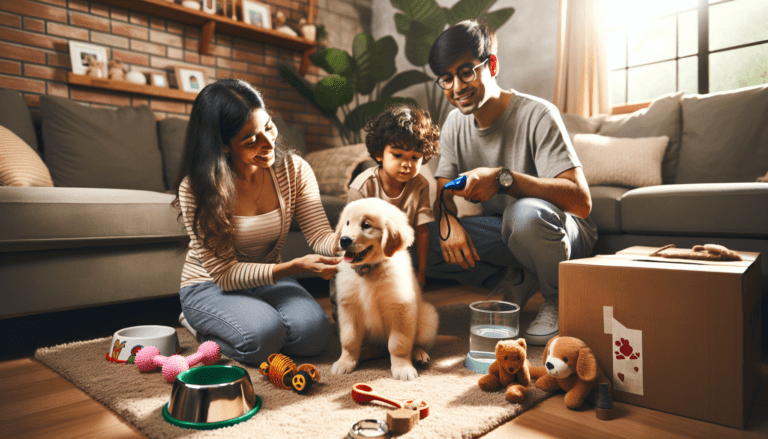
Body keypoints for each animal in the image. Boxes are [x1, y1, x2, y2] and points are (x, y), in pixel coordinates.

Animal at [330, 199, 438, 382]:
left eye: (366, 225)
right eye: (347, 223)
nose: (344, 240)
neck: (368, 270)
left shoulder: (399, 308)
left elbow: (398, 344)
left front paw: (402, 368)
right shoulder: (349, 308)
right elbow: (349, 340)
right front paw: (345, 362)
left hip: (427, 317)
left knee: (414, 343)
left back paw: (419, 354)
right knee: (378, 348)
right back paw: (365, 353)